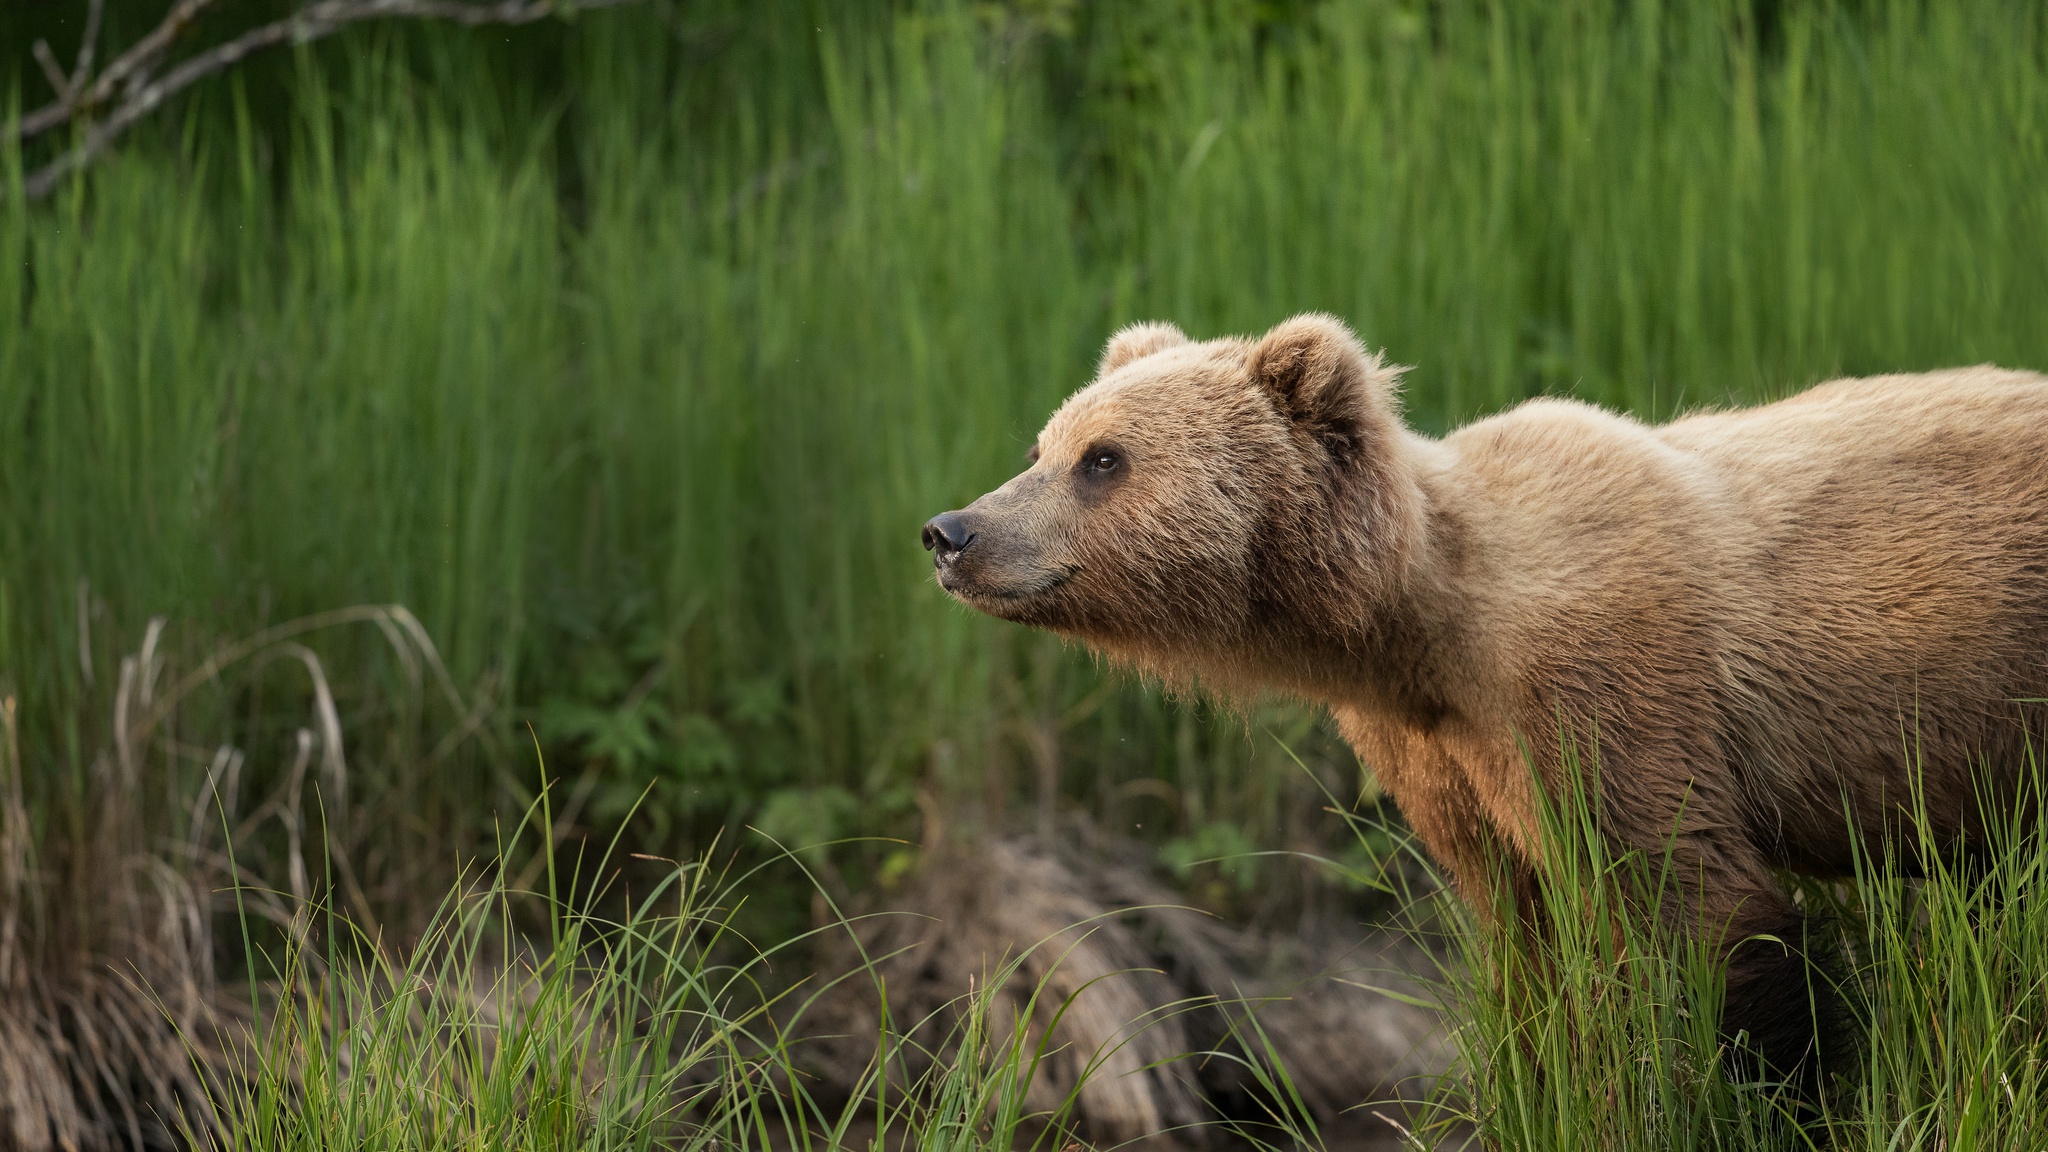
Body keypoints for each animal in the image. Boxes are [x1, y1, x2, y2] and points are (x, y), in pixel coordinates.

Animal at [925, 311, 2048, 1074]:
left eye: (1104, 459)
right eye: (1042, 446)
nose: (951, 531)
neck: (1422, 626)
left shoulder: (1604, 685)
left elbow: (1700, 907)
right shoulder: (1435, 747)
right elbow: (1520, 932)